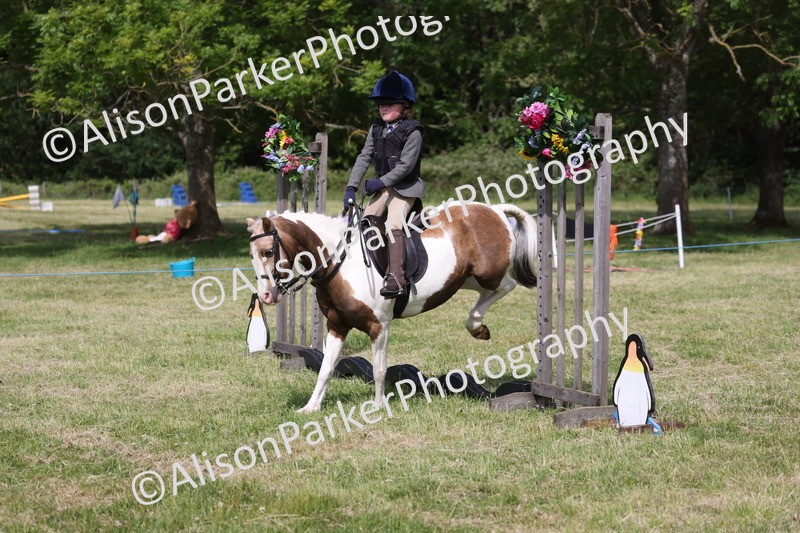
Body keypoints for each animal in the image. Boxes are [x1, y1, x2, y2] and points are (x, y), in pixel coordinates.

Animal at [246, 201, 538, 413]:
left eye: (268, 252)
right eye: (252, 255)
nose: (266, 295)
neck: (340, 261)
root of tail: (495, 209)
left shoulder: (379, 326)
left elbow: (379, 368)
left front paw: (377, 407)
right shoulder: (337, 325)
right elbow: (326, 368)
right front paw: (311, 407)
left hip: (488, 273)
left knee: (507, 285)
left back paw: (477, 326)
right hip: (467, 279)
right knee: (486, 293)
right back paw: (478, 326)